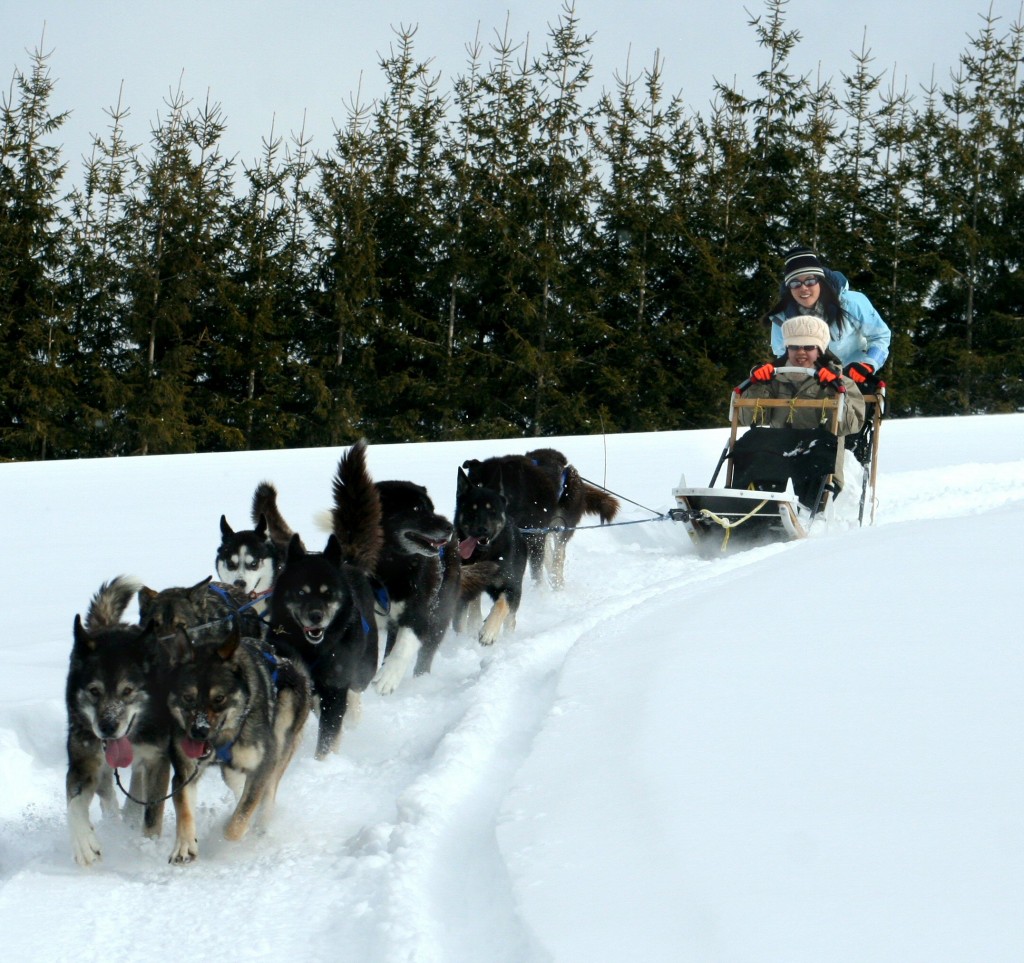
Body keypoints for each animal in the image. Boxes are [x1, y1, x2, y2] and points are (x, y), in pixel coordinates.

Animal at [65, 573, 172, 868]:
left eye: (127, 691)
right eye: (94, 691)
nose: (108, 728)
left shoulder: (158, 759)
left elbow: (153, 812)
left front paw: (147, 847)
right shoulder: (84, 761)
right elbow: (74, 803)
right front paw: (84, 843)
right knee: (108, 795)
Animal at [163, 622, 311, 864]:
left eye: (219, 698)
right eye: (187, 697)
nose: (199, 731)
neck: (222, 739)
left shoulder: (263, 765)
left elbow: (240, 818)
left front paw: (231, 830)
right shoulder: (185, 773)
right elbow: (184, 808)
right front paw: (184, 846)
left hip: (282, 736)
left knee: (268, 792)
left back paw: (261, 824)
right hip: (232, 771)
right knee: (239, 785)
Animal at [268, 438, 385, 758]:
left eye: (327, 592)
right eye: (301, 592)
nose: (316, 616)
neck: (313, 652)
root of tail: (348, 562)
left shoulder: (334, 688)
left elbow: (328, 738)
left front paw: (323, 763)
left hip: (364, 667)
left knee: (355, 692)